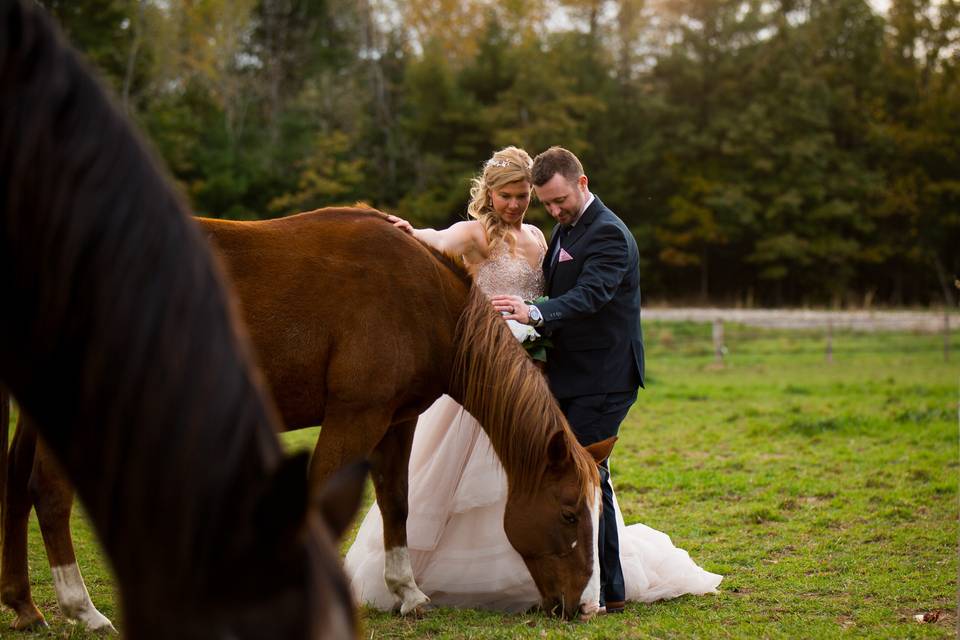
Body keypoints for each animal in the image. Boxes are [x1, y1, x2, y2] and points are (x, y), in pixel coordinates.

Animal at [5, 209, 616, 624]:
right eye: (568, 513)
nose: (582, 605)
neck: (421, 299)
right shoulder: (354, 418)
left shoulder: (397, 423)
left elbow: (397, 503)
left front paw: (408, 593)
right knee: (50, 494)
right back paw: (81, 608)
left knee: (18, 487)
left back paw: (25, 605)